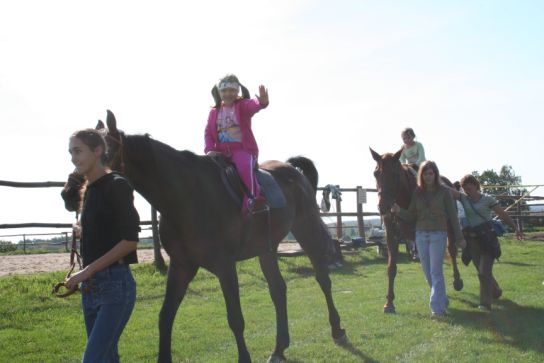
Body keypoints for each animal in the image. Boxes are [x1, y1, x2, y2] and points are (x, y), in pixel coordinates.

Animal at [75, 111, 344, 363]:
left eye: (103, 153)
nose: (72, 190)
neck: (187, 196)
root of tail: (293, 171)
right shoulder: (181, 266)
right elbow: (165, 316)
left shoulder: (225, 266)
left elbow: (235, 318)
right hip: (266, 249)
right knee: (278, 289)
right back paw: (279, 348)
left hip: (306, 230)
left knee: (323, 278)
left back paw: (337, 329)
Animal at [370, 148, 464, 312]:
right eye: (376, 173)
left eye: (395, 174)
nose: (383, 206)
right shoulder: (392, 236)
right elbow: (391, 267)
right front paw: (389, 302)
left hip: (451, 226)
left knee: (452, 251)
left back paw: (457, 281)